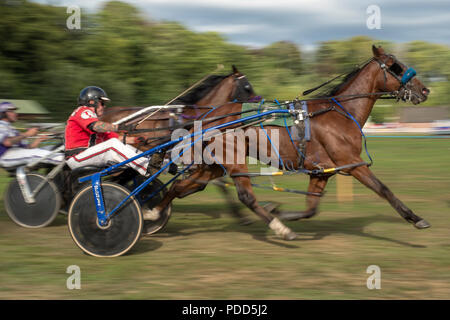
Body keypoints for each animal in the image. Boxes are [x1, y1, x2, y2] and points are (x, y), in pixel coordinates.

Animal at [150, 45, 428, 240]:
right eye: (395, 66)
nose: (425, 90)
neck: (339, 113)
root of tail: (208, 117)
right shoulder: (352, 163)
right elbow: (384, 189)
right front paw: (415, 218)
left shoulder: (322, 171)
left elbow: (311, 209)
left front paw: (280, 211)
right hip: (233, 160)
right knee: (245, 195)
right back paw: (280, 229)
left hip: (214, 165)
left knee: (184, 186)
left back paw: (153, 212)